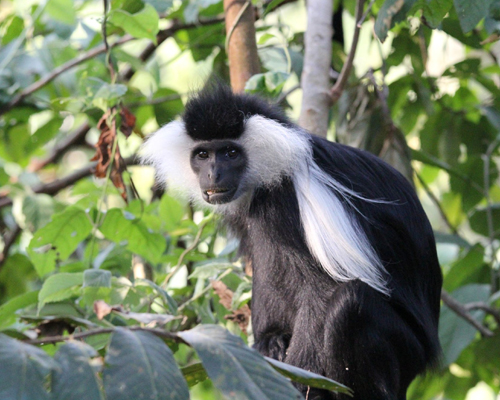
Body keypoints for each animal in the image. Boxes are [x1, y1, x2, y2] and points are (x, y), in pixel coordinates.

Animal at [142, 85, 442, 400]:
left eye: (230, 152)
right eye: (202, 154)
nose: (213, 173)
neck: (273, 171)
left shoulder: (294, 199)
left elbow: (322, 291)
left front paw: (298, 381)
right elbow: (265, 265)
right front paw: (268, 341)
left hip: (405, 349)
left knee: (350, 305)